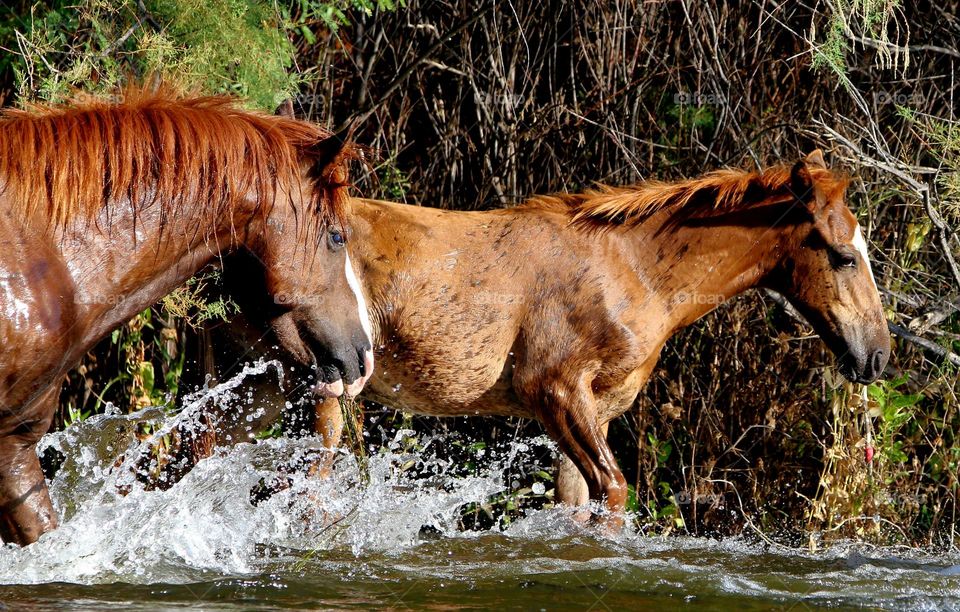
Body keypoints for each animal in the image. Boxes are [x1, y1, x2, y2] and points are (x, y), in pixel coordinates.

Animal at [153, 150, 890, 527]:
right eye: (841, 255)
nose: (876, 355)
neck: (639, 275)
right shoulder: (555, 392)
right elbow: (614, 496)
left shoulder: (591, 409)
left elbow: (576, 505)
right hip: (318, 387)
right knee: (298, 481)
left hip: (265, 385)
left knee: (205, 454)